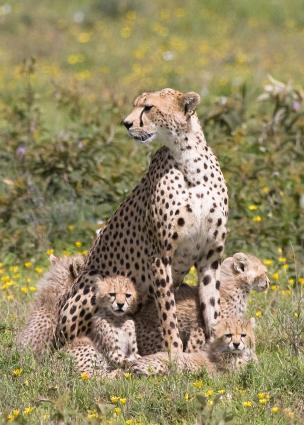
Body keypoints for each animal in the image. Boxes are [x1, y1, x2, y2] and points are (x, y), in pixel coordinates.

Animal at [57, 87, 228, 352]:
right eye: (136, 105)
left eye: (148, 107)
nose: (126, 123)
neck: (188, 159)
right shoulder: (160, 256)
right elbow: (168, 313)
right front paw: (174, 354)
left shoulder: (210, 256)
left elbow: (211, 308)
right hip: (92, 283)